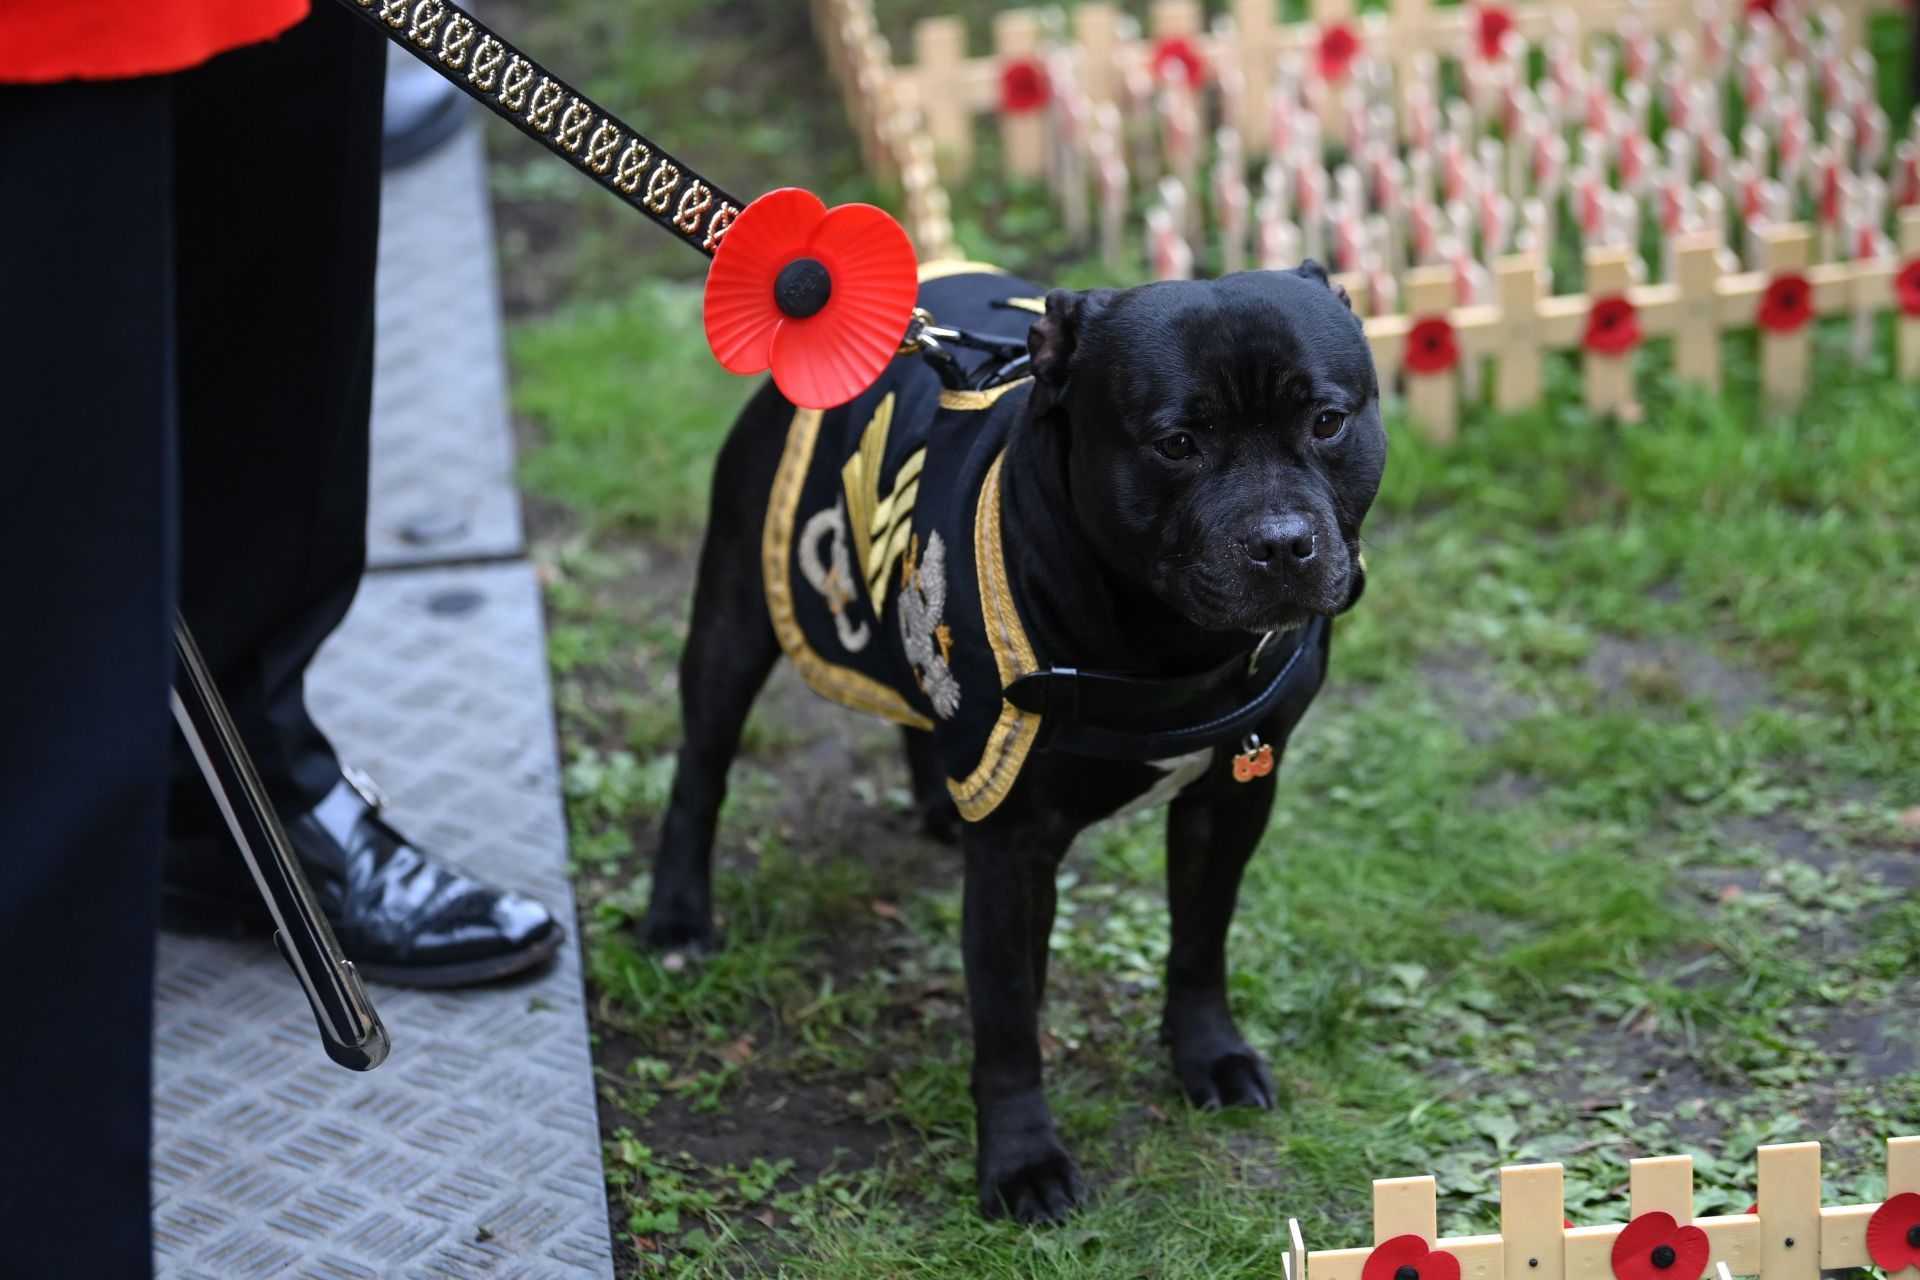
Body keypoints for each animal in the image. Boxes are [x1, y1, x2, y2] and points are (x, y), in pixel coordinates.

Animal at [641, 260, 1382, 1220]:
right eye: (1176, 443)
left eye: (1327, 422)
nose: (1283, 542)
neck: (1167, 640)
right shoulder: (1015, 854)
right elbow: (1007, 1017)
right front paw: (1022, 1163)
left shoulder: (1231, 797)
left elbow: (1200, 939)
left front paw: (1208, 1054)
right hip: (736, 611)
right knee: (701, 769)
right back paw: (678, 919)